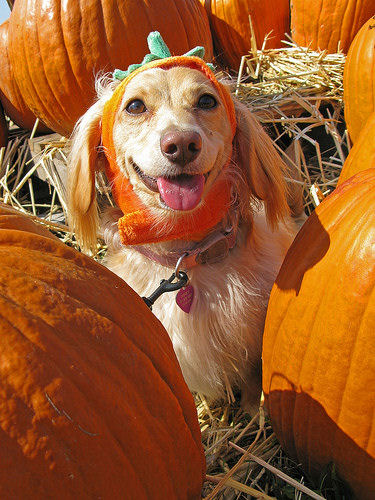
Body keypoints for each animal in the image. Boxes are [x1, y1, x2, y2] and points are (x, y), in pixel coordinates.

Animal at [67, 54, 302, 414]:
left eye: (206, 101)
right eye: (135, 106)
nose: (181, 145)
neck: (186, 258)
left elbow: (254, 374)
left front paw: (255, 407)